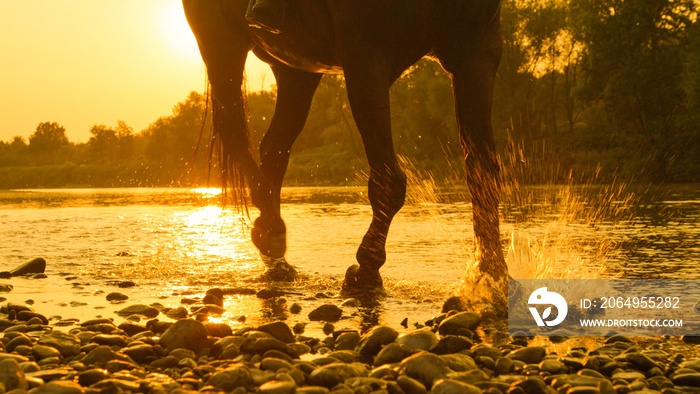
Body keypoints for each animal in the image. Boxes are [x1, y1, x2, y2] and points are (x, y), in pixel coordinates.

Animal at [180, 0, 508, 296]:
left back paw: (275, 254)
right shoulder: (366, 57)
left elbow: (483, 174)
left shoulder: (476, 52)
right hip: (221, 43)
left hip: (295, 66)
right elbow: (388, 180)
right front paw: (366, 269)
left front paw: (491, 275)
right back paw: (271, 232)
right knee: (235, 132)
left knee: (273, 147)